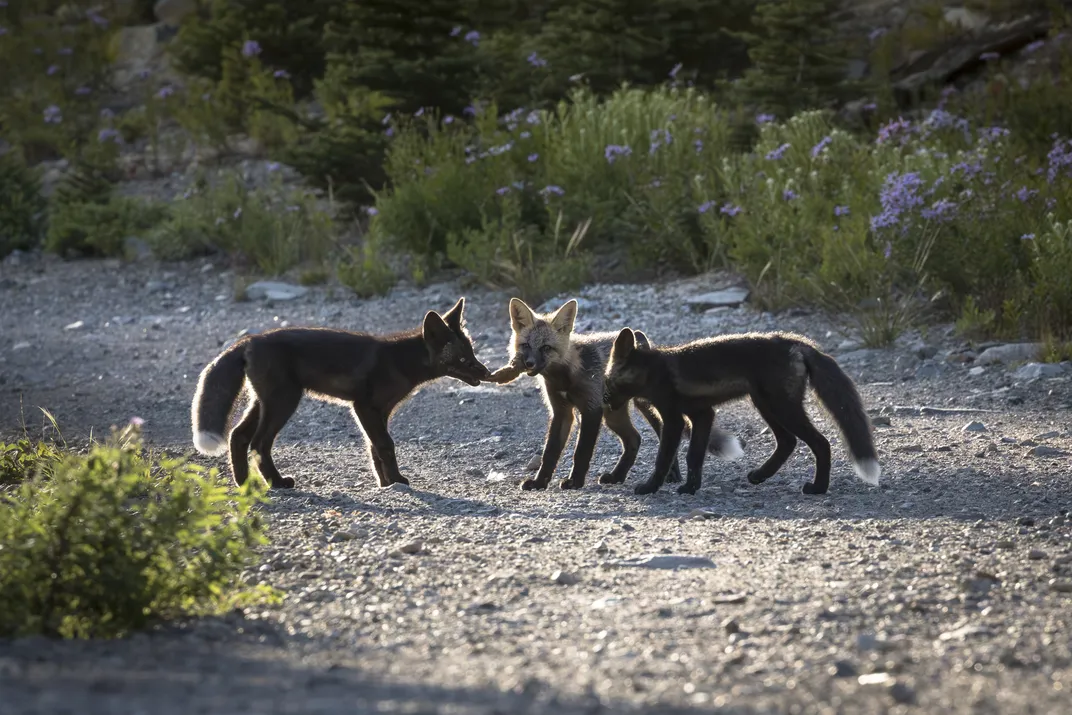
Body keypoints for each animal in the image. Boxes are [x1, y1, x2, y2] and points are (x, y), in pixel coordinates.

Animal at [191, 297, 491, 490]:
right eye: (463, 360)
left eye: (472, 352)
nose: (487, 372)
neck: (400, 362)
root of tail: (248, 340)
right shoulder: (364, 407)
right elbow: (385, 445)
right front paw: (397, 481)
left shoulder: (380, 411)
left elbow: (374, 448)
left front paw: (385, 483)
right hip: (283, 402)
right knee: (259, 443)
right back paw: (277, 483)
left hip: (263, 402)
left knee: (238, 436)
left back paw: (244, 485)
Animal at [487, 297, 743, 491]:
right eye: (526, 346)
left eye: (546, 348)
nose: (529, 364)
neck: (565, 376)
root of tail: (641, 339)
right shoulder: (562, 413)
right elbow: (550, 453)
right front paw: (540, 482)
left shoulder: (591, 409)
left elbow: (581, 452)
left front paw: (575, 482)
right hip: (614, 414)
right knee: (635, 439)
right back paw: (618, 476)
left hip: (639, 407)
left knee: (661, 433)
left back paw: (671, 476)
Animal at [602, 328, 881, 497]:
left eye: (606, 382)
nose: (604, 403)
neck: (654, 371)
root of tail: (793, 341)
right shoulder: (702, 414)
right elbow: (694, 457)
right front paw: (691, 487)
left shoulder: (674, 419)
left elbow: (663, 459)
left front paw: (650, 487)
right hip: (766, 405)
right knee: (788, 442)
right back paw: (760, 475)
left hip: (782, 408)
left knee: (821, 443)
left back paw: (818, 488)